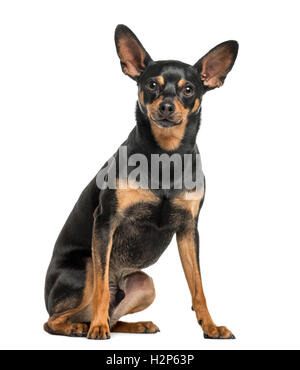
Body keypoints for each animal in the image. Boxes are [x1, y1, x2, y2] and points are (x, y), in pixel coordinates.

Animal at [43, 24, 238, 340]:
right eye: (151, 85)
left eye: (188, 89)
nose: (167, 106)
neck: (165, 156)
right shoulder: (105, 221)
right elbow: (101, 290)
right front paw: (96, 328)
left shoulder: (188, 230)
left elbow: (198, 288)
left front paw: (210, 326)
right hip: (86, 267)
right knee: (58, 317)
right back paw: (82, 326)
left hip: (146, 284)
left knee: (114, 315)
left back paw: (136, 324)